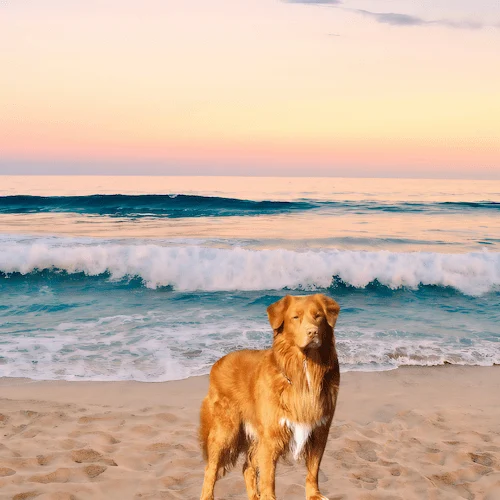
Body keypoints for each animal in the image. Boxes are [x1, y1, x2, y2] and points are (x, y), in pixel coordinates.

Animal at [199, 292, 340, 500]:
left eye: (318, 316)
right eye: (295, 317)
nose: (313, 332)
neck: (304, 369)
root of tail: (218, 362)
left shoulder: (319, 430)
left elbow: (313, 470)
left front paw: (314, 494)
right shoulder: (271, 436)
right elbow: (268, 478)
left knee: (247, 468)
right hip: (225, 430)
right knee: (211, 468)